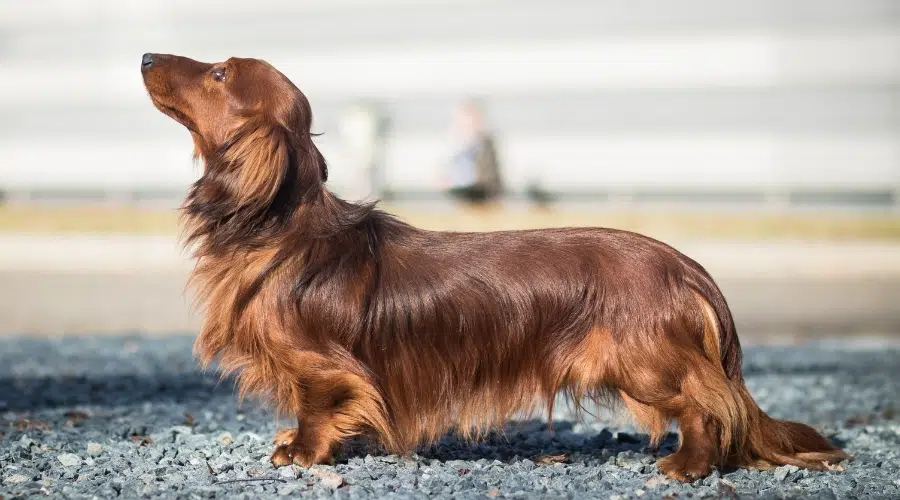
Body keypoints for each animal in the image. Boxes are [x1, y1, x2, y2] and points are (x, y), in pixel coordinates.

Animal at [137, 53, 848, 480]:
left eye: (220, 74)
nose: (145, 56)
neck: (284, 229)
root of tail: (687, 266)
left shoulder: (324, 366)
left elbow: (320, 405)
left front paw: (302, 452)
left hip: (645, 362)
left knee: (708, 405)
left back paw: (687, 465)